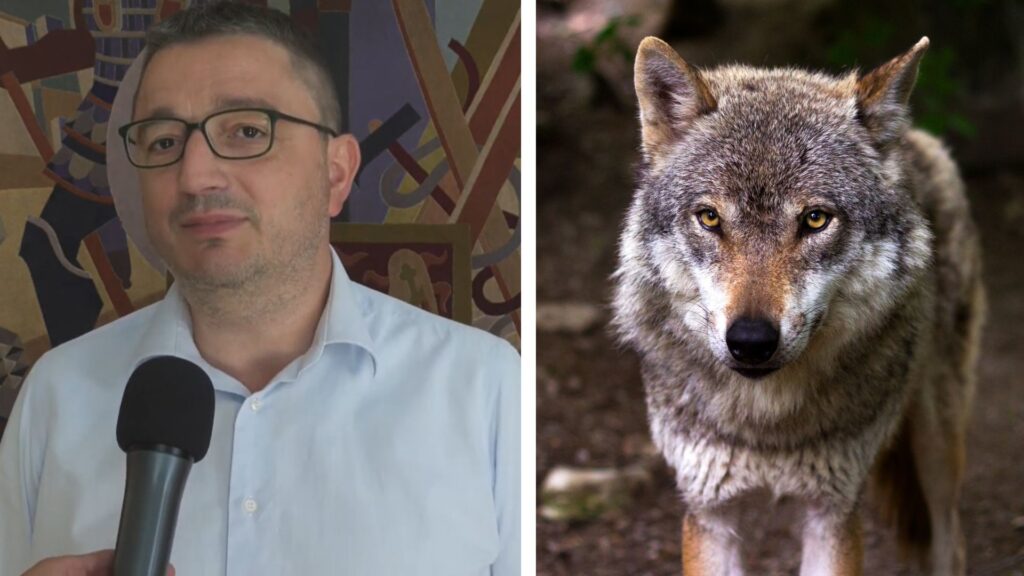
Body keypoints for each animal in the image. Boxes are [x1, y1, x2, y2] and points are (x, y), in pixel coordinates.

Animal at [611, 36, 984, 576]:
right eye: (709, 218)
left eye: (814, 219)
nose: (751, 341)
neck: (767, 425)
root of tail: (912, 138)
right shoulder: (709, 512)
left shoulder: (832, 512)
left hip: (938, 447)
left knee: (950, 539)